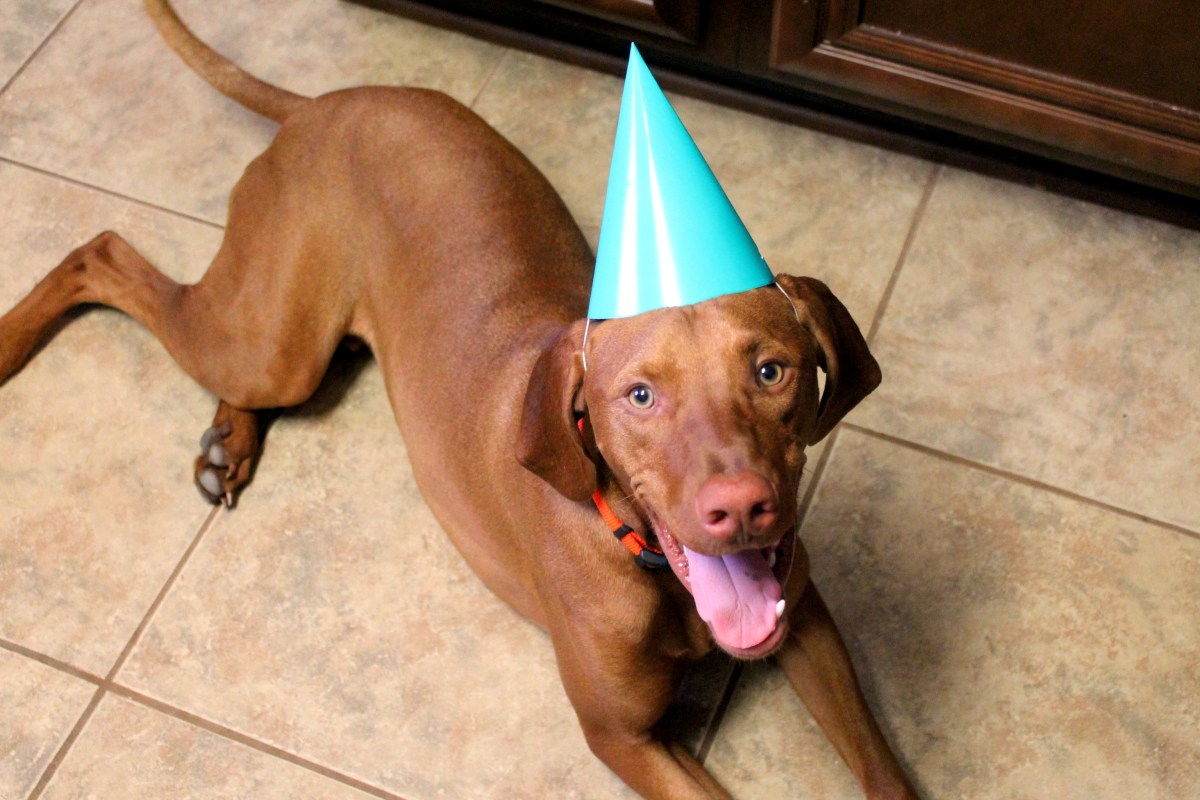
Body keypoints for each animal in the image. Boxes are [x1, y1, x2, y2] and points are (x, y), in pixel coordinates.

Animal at [0, 2, 918, 797]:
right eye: (640, 396)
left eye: (771, 371)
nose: (743, 508)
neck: (642, 561)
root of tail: (324, 105)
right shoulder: (621, 737)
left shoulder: (806, 618)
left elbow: (883, 768)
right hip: (274, 345)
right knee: (102, 254)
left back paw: (231, 436)